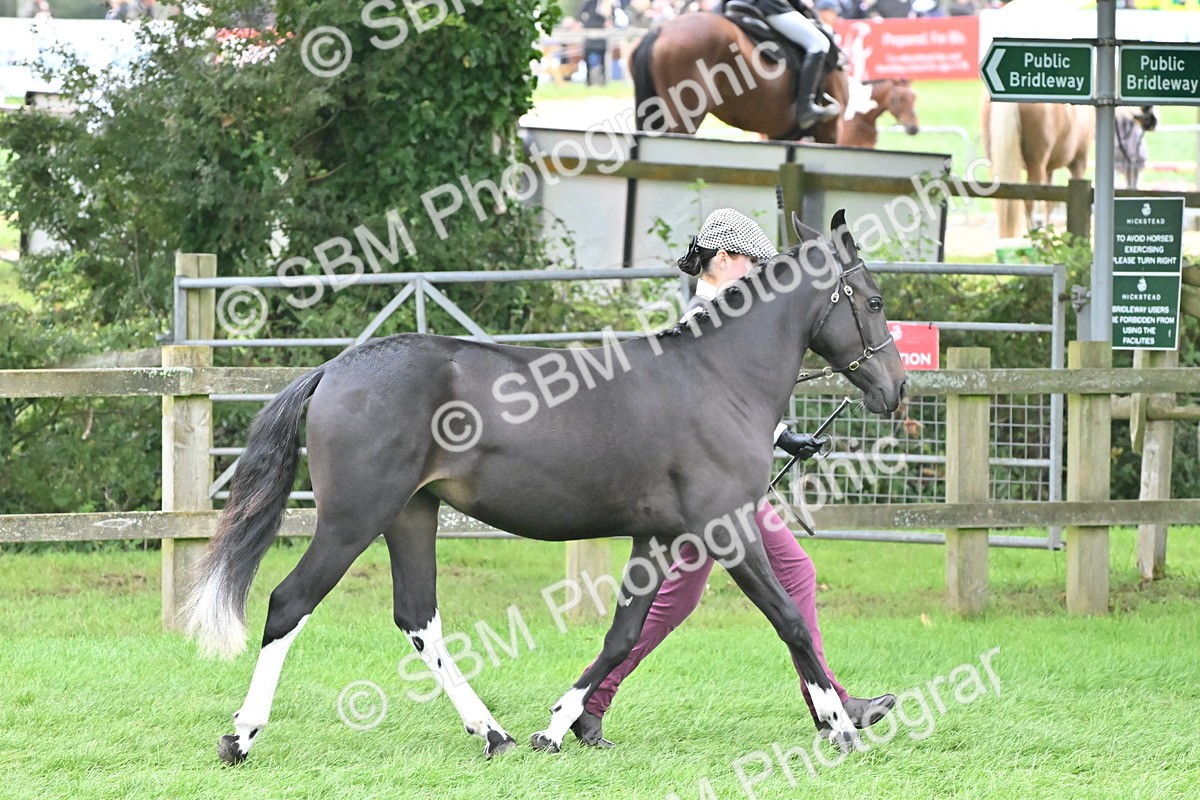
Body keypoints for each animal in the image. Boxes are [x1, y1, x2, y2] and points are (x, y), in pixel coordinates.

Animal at [185, 210, 906, 765]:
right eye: (872, 301)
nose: (896, 390)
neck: (716, 378)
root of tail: (334, 370)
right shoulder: (725, 529)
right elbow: (789, 619)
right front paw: (841, 726)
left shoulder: (656, 538)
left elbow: (623, 634)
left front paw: (558, 727)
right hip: (352, 519)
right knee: (289, 602)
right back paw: (240, 737)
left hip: (411, 514)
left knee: (418, 619)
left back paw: (494, 733)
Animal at [981, 97, 1094, 239]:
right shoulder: (1078, 162)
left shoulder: (1049, 169)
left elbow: (1049, 202)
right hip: (1036, 164)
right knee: (1029, 202)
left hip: (994, 161)